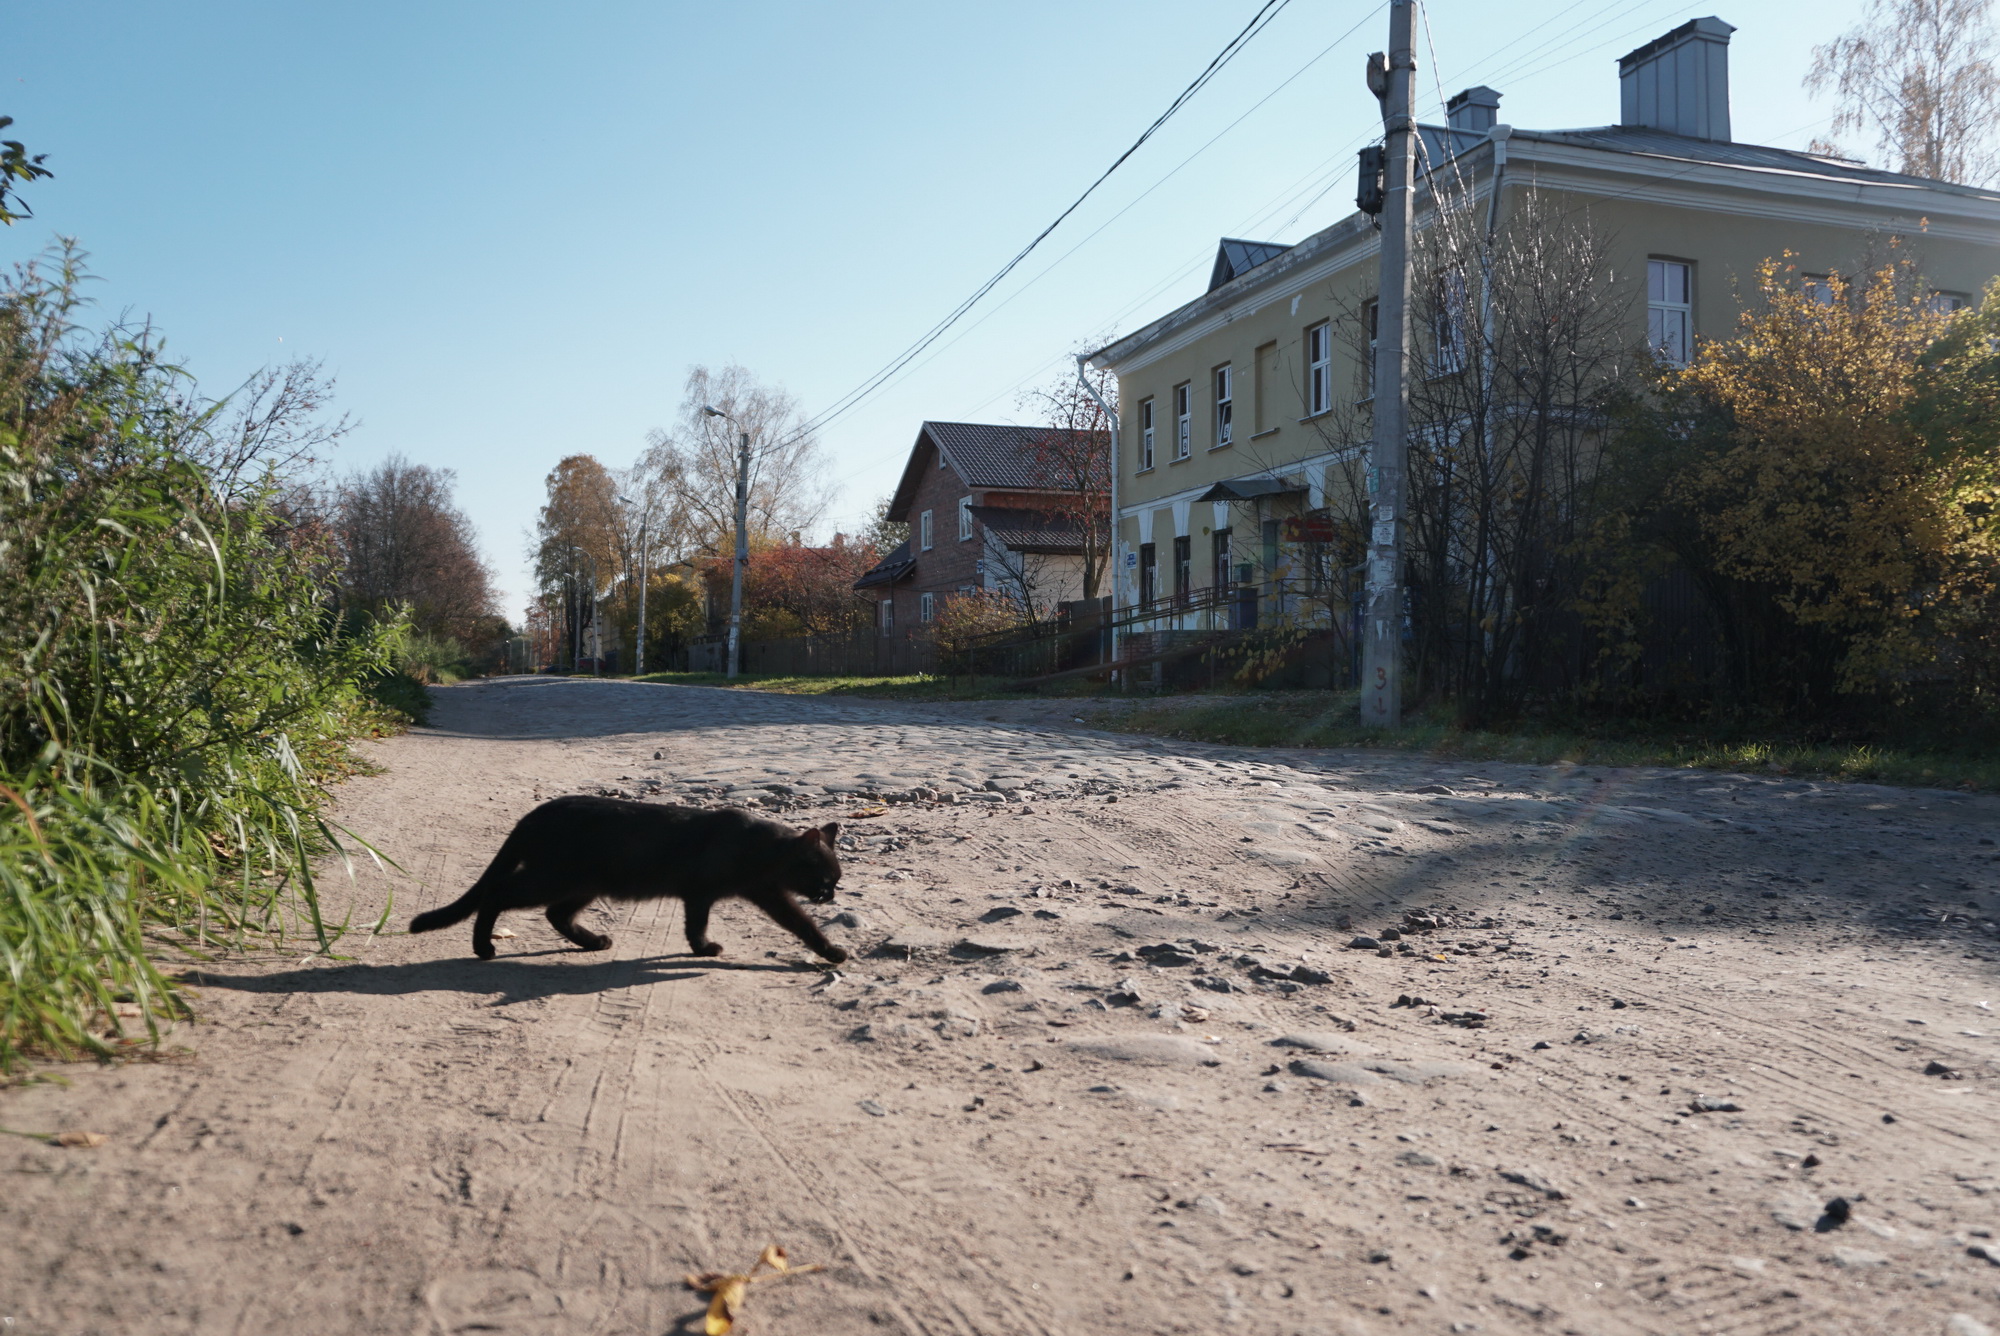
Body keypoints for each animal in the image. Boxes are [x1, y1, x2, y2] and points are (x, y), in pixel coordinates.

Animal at [410, 792, 848, 960]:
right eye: (826, 880)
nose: (831, 898)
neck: (761, 851)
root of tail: (534, 813)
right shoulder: (700, 893)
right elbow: (696, 925)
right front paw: (703, 949)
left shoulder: (769, 894)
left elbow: (803, 925)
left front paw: (830, 951)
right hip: (553, 878)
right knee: (498, 893)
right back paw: (483, 947)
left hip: (583, 884)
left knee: (556, 914)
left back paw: (593, 942)